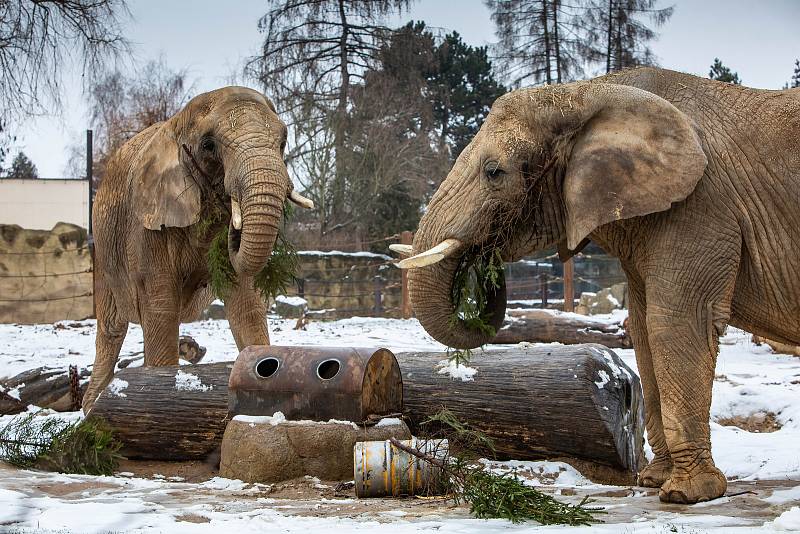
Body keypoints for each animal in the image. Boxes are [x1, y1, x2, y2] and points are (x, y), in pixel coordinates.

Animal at [81, 87, 312, 414]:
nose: (234, 226)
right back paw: (91, 409)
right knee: (112, 328)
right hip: (104, 248)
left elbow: (246, 303)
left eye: (283, 141)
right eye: (208, 145)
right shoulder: (147, 223)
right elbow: (160, 305)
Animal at [400, 68, 800, 506]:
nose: (483, 254)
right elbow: (642, 328)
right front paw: (652, 482)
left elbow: (676, 323)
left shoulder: (701, 206)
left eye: (494, 172)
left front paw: (687, 494)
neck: (585, 93)